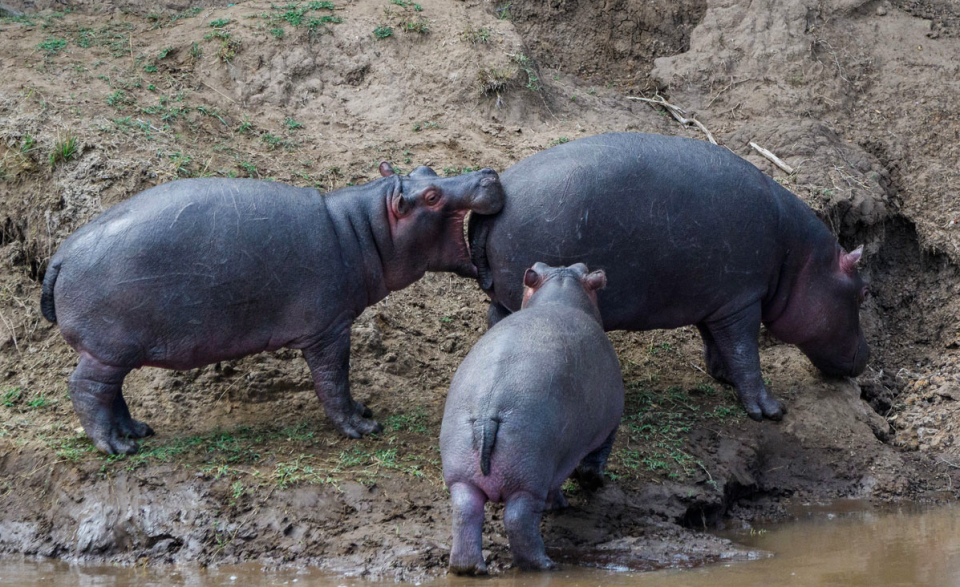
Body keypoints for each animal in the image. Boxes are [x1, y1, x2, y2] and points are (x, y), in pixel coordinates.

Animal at [39, 164, 502, 454]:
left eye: (427, 170)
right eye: (431, 194)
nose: (488, 173)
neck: (364, 229)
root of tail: (60, 255)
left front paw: (364, 412)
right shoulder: (329, 328)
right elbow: (334, 379)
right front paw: (362, 427)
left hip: (113, 351)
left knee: (109, 391)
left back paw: (136, 431)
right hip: (108, 347)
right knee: (85, 388)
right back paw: (116, 446)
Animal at [440, 262, 628, 576]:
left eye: (581, 268)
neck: (561, 290)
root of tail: (488, 409)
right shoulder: (607, 426)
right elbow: (592, 461)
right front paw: (575, 495)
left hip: (462, 477)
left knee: (465, 513)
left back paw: (469, 568)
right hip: (529, 478)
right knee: (519, 520)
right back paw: (544, 564)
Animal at [468, 133, 872, 420]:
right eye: (863, 292)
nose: (867, 357)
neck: (799, 258)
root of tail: (497, 201)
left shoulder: (716, 300)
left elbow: (717, 343)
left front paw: (722, 377)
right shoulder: (742, 301)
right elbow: (746, 353)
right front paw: (770, 411)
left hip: (508, 294)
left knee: (495, 316)